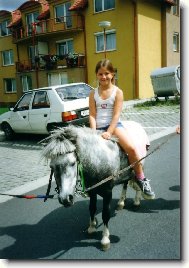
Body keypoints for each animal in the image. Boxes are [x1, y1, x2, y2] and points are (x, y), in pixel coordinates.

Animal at [41, 122, 151, 250]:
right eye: (52, 167)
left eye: (73, 163)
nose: (65, 199)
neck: (98, 159)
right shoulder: (92, 190)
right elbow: (92, 208)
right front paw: (91, 227)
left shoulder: (108, 192)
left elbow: (105, 214)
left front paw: (105, 239)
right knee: (125, 183)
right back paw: (121, 203)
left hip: (140, 163)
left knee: (138, 182)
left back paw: (137, 201)